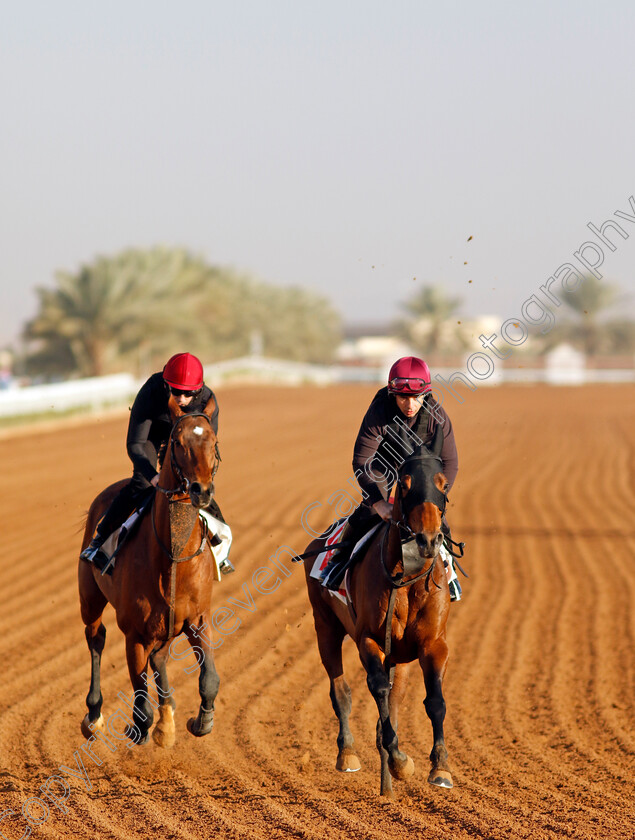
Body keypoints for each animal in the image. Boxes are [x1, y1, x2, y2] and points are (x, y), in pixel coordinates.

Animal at [79, 396, 221, 748]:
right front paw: (144, 728)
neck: (172, 558)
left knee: (158, 658)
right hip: (90, 598)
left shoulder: (197, 619)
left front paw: (199, 721)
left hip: (166, 627)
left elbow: (210, 679)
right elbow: (140, 704)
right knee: (95, 637)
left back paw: (166, 719)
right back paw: (94, 715)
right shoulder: (134, 632)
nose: (201, 490)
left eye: (213, 441)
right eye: (177, 441)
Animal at [304, 426, 452, 796]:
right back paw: (348, 754)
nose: (428, 539)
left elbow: (434, 701)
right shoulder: (368, 639)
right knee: (341, 692)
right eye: (406, 482)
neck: (407, 579)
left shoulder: (433, 644)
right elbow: (378, 689)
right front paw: (398, 760)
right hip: (325, 627)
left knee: (395, 697)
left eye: (443, 484)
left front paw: (440, 767)